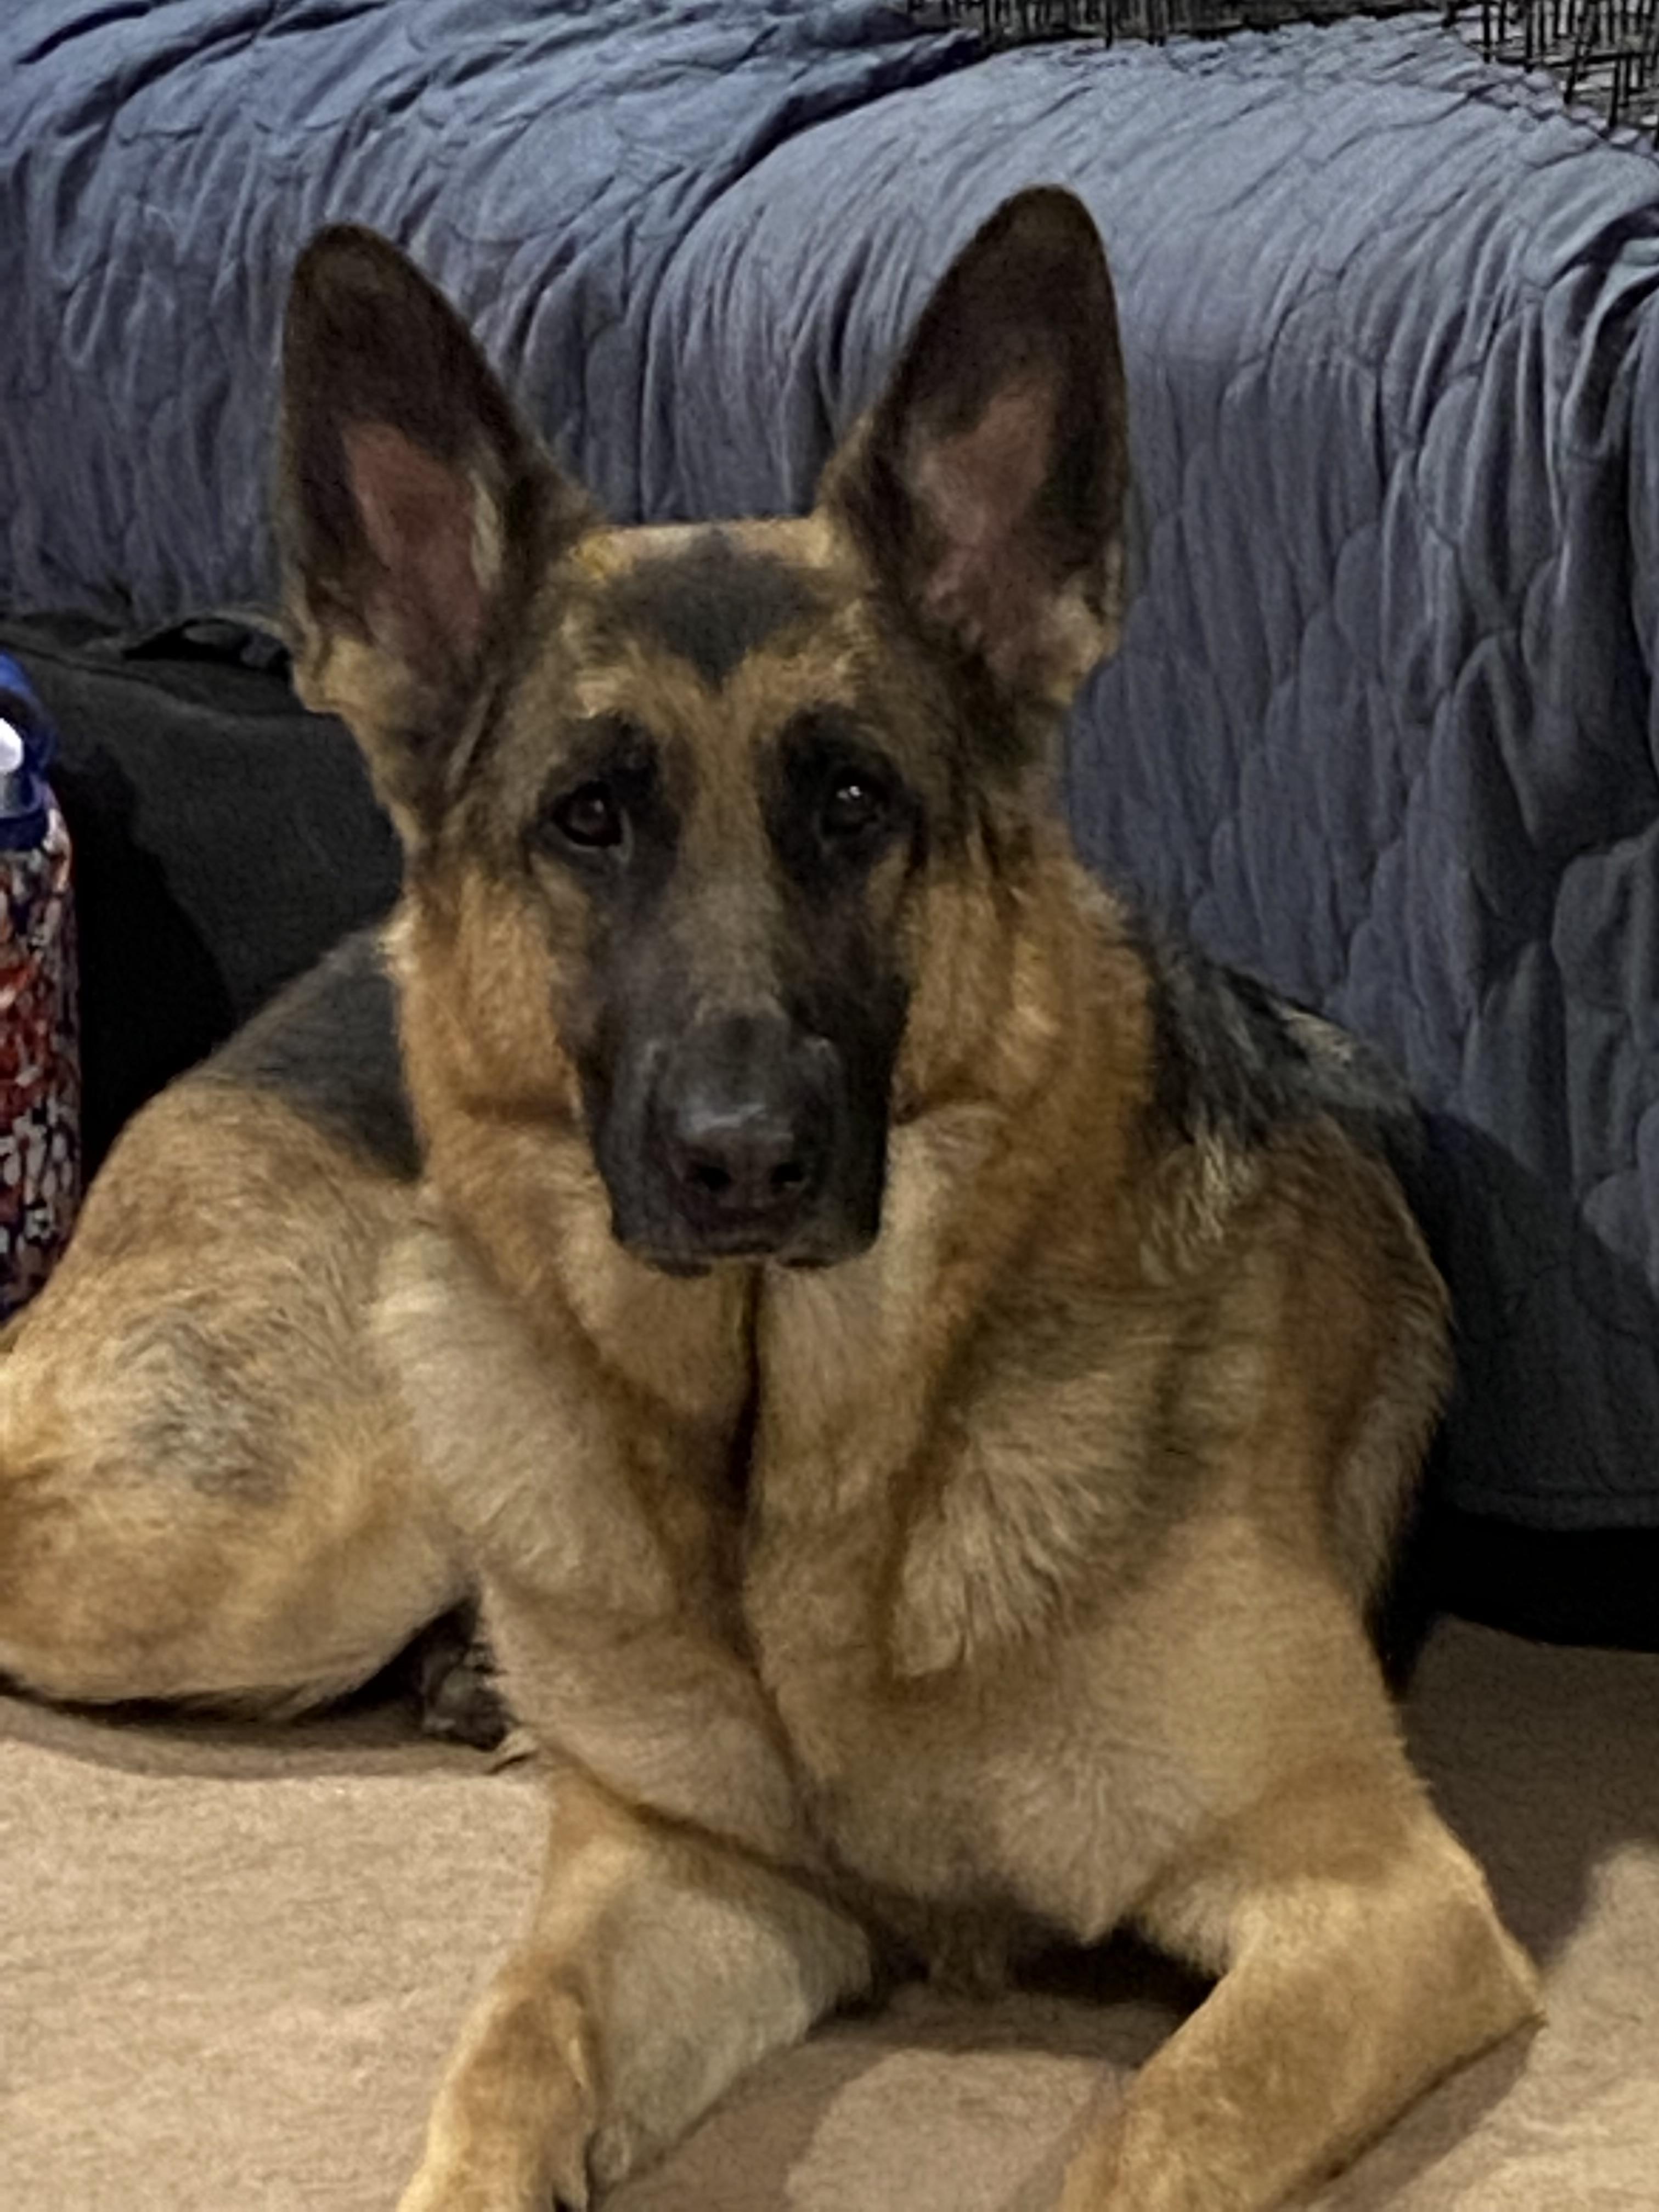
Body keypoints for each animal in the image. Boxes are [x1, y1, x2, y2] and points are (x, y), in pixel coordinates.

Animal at [0, 190, 1538, 2210]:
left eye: (855, 803)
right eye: (586, 818)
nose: (740, 1158)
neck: (790, 1463)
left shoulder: (1373, 1901)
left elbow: (1151, 2135)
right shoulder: (696, 1887)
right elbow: (511, 2050)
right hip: (270, 1540)